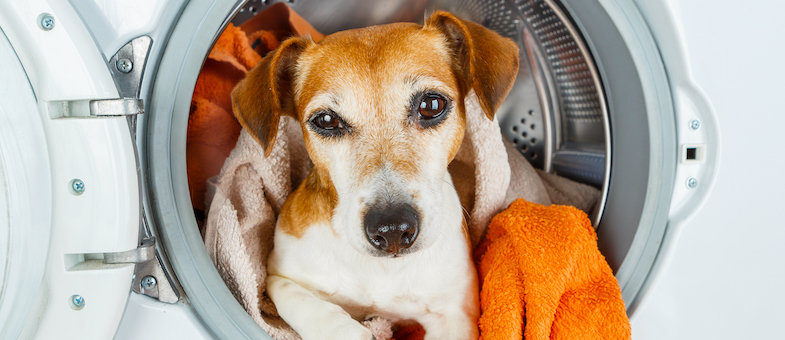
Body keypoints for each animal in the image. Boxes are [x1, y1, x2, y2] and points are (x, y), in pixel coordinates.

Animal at [230, 10, 516, 340]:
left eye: (431, 105)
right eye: (326, 120)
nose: (392, 229)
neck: (380, 270)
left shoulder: (455, 314)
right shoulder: (278, 275)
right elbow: (303, 304)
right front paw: (346, 331)